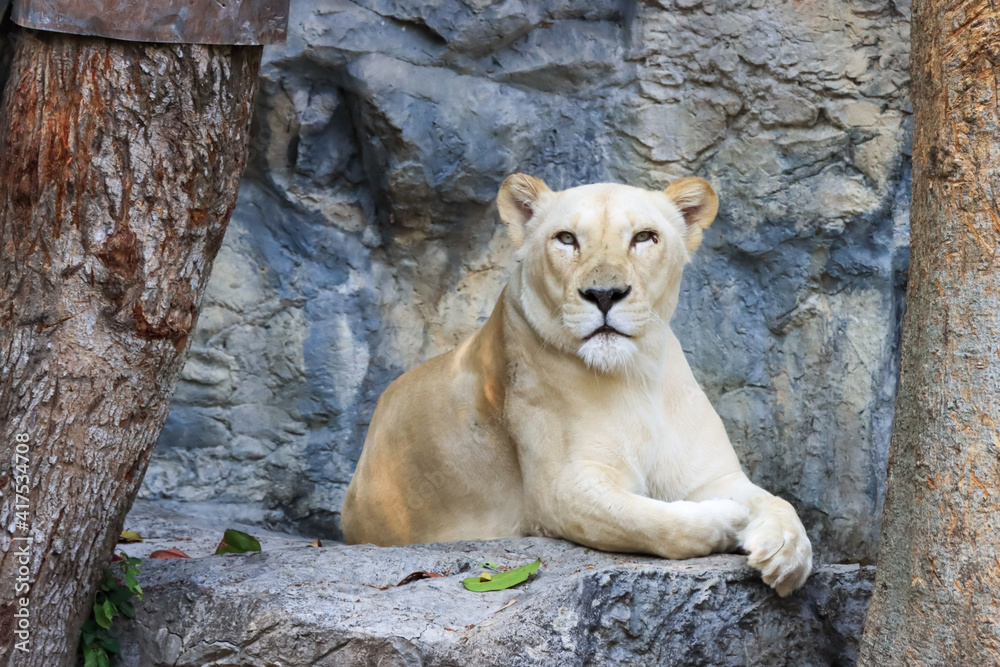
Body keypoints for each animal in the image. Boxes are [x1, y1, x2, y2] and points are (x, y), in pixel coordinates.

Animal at [341, 174, 813, 596]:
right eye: (566, 239)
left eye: (645, 237)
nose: (604, 294)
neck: (638, 376)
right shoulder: (560, 490)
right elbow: (656, 522)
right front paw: (728, 520)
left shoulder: (711, 475)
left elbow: (780, 502)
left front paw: (787, 553)